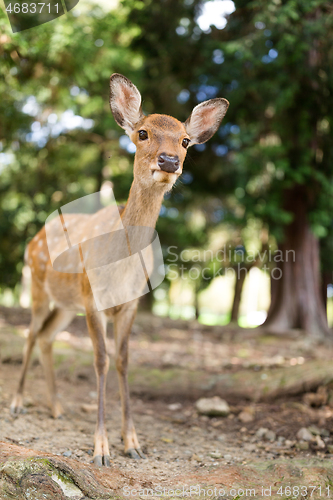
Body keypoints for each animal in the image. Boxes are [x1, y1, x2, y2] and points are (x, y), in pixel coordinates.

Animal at [10, 73, 228, 464]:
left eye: (185, 140)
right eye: (142, 132)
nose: (169, 161)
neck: (121, 266)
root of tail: (33, 237)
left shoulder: (130, 304)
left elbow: (125, 361)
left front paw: (133, 443)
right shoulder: (93, 298)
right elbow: (101, 361)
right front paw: (101, 448)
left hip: (65, 304)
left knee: (48, 337)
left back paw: (57, 407)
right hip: (36, 286)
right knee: (31, 334)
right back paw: (18, 402)